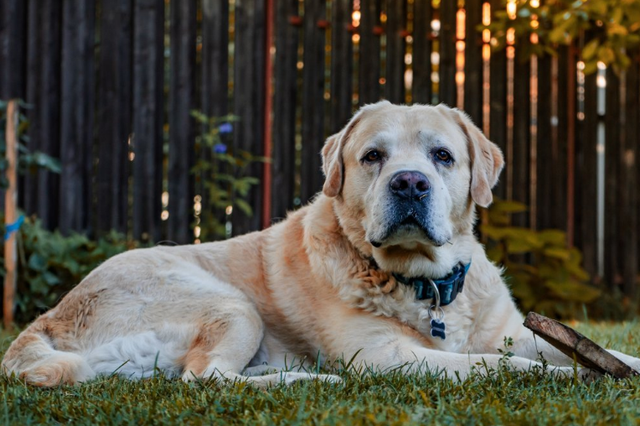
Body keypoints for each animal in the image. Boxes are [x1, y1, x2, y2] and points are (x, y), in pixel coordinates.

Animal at [2, 102, 636, 386]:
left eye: (442, 156)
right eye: (374, 156)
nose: (409, 183)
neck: (427, 285)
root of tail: (48, 315)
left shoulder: (510, 333)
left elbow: (600, 352)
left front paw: (618, 367)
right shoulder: (385, 357)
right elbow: (492, 366)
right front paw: (562, 377)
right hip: (230, 304)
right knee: (207, 379)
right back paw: (315, 379)